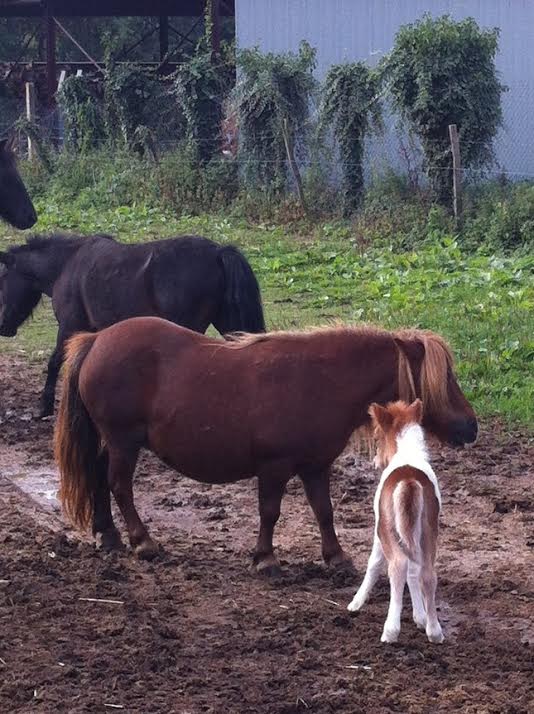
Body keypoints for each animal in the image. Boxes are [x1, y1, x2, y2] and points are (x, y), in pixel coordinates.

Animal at [0, 234, 266, 414]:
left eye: (2, 277)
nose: (3, 327)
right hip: (230, 325)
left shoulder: (69, 325)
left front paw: (43, 407)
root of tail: (218, 251)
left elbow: (55, 362)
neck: (66, 264)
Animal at [54, 318, 480, 568]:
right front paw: (265, 557)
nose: (470, 427)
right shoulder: (274, 467)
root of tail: (96, 339)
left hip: (109, 443)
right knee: (119, 486)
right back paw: (142, 541)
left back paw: (109, 536)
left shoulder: (315, 467)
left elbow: (324, 511)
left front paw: (336, 557)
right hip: (123, 443)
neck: (321, 382)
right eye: (442, 379)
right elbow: (270, 511)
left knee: (99, 481)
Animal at [348, 398, 444, 644]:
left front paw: (355, 603)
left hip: (388, 530)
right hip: (428, 531)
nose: (375, 461)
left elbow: (373, 564)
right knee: (427, 573)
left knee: (398, 566)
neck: (408, 454)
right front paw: (420, 618)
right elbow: (414, 572)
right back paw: (435, 632)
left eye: (377, 437)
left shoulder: (378, 529)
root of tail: (409, 482)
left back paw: (390, 631)